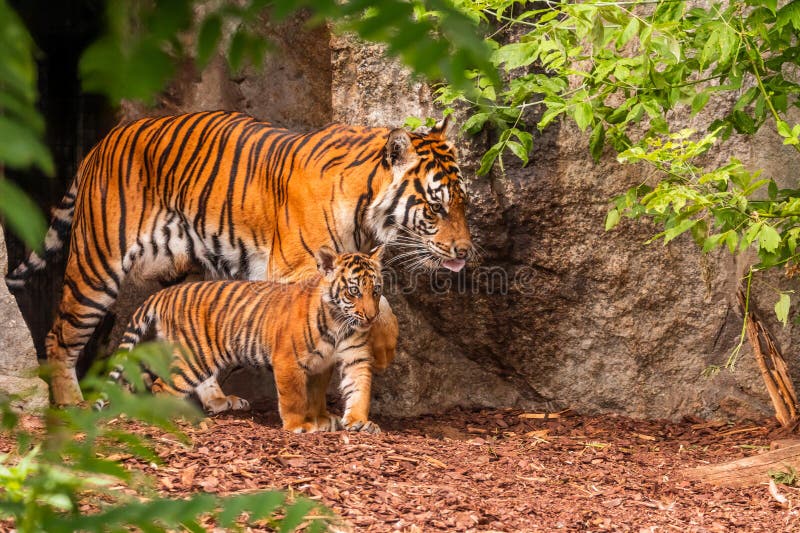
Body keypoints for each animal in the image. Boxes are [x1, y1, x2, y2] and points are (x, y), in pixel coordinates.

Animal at [6, 110, 474, 407]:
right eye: (436, 208)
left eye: (463, 203)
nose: (465, 252)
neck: (365, 206)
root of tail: (101, 142)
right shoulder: (297, 270)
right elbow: (372, 306)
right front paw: (380, 351)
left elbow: (379, 302)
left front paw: (384, 346)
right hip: (96, 266)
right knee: (58, 337)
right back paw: (71, 404)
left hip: (189, 272)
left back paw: (217, 400)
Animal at [103, 246, 384, 433]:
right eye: (354, 291)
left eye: (376, 290)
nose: (372, 317)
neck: (339, 323)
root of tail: (164, 293)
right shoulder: (288, 360)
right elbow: (294, 397)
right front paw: (300, 425)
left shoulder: (345, 360)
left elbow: (355, 388)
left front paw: (356, 421)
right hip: (194, 356)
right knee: (162, 387)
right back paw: (182, 419)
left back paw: (220, 403)